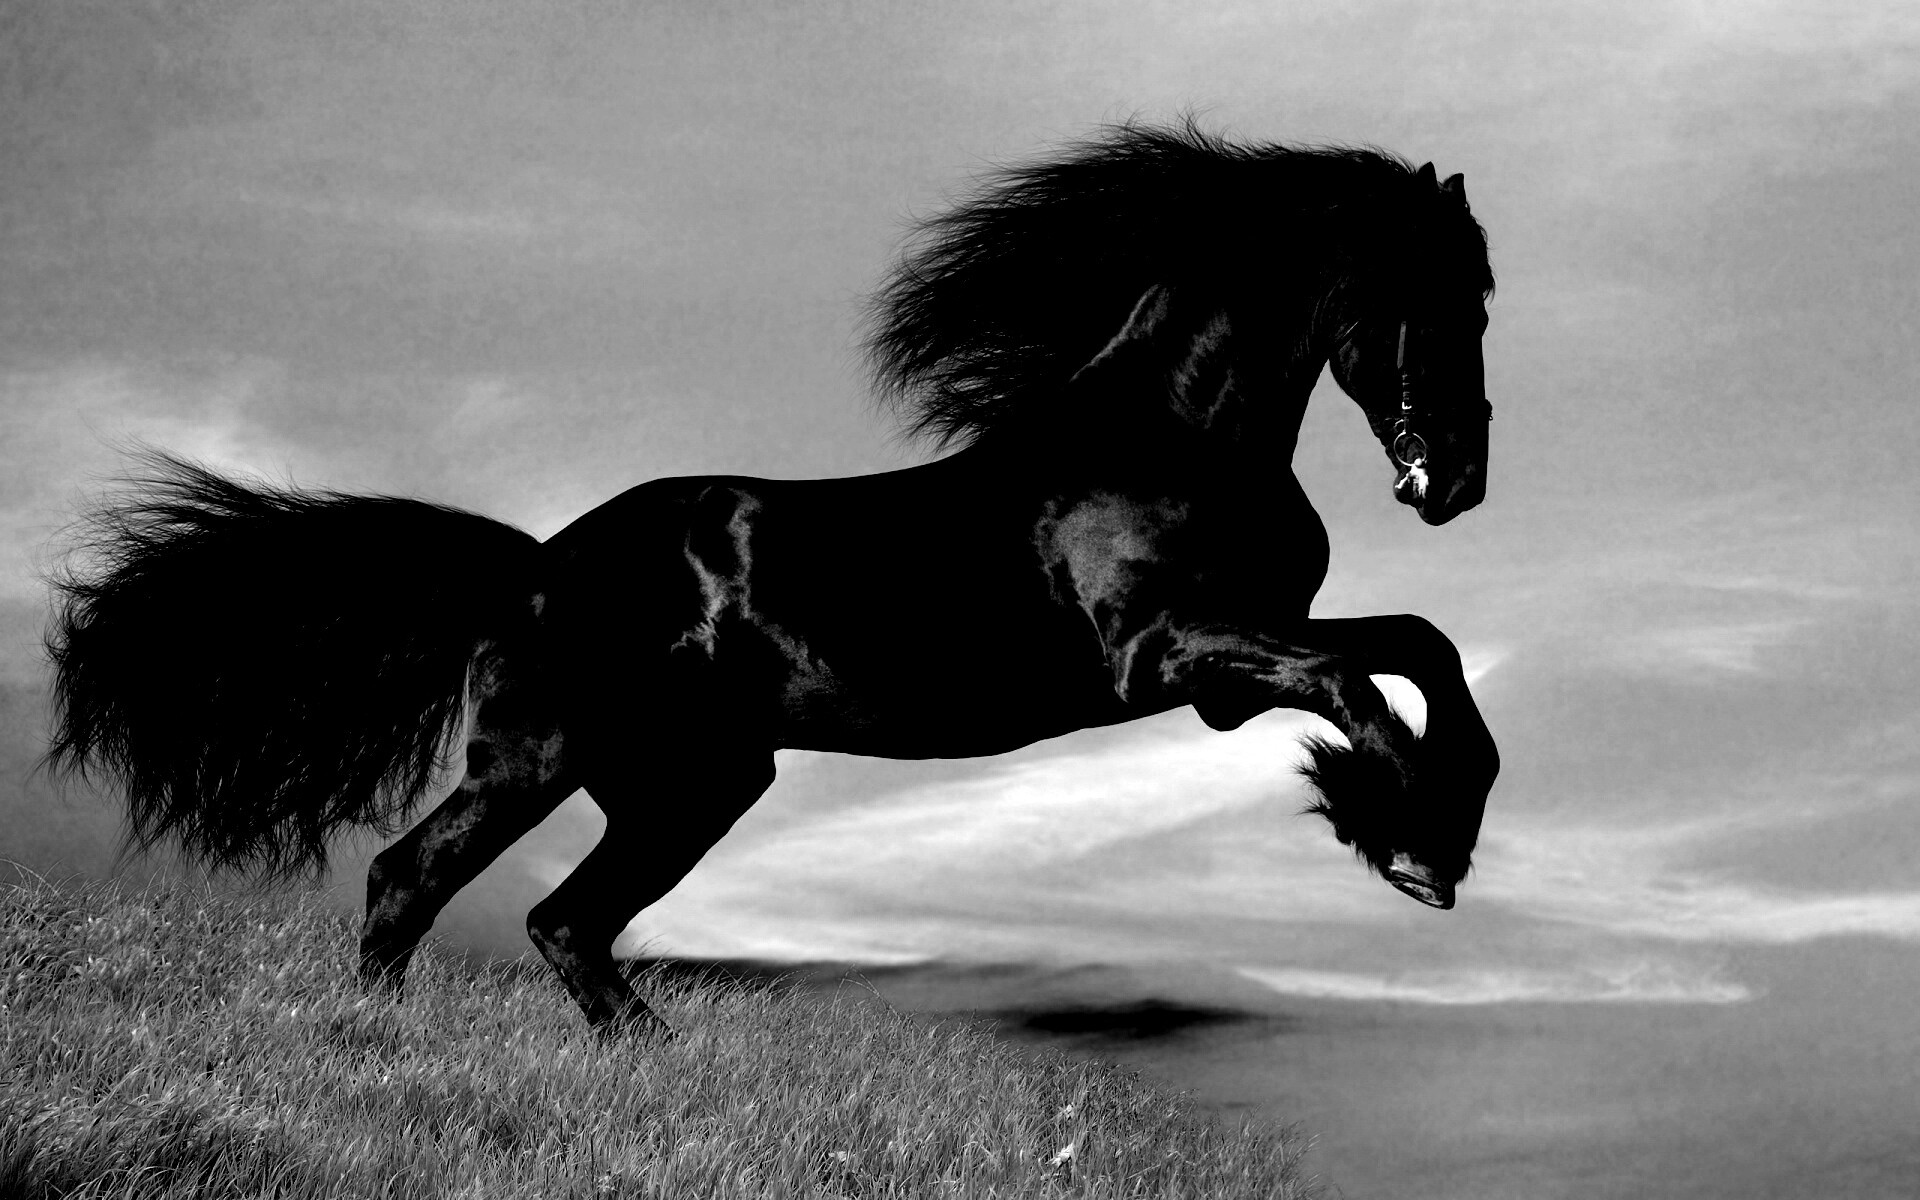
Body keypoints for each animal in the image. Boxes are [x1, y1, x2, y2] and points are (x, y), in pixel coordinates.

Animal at [42, 121, 1499, 1038]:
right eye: (1440, 297)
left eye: (1482, 297)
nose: (1458, 483)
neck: (1169, 432)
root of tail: (537, 565)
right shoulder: (1171, 656)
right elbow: (1356, 680)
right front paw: (1405, 842)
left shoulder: (1237, 653)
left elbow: (1420, 647)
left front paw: (1427, 833)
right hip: (544, 757)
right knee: (414, 879)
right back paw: (380, 1044)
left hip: (692, 784)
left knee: (565, 922)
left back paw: (645, 1058)